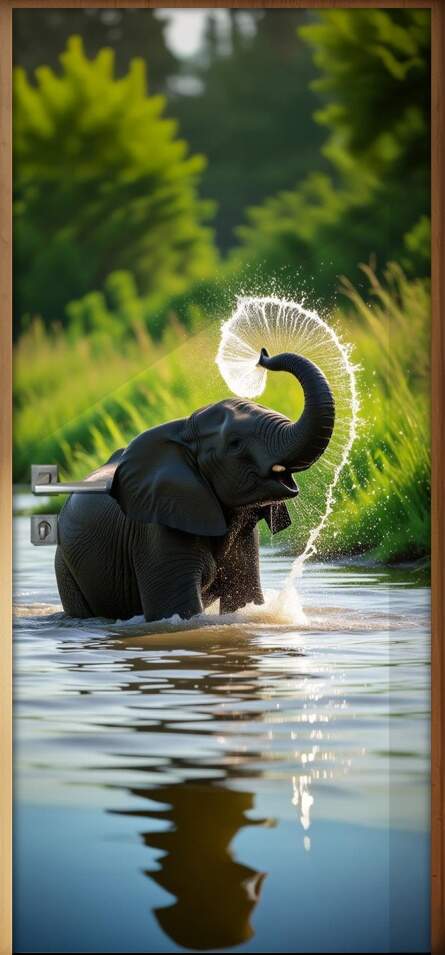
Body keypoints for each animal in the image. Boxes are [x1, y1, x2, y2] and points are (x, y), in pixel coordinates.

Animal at [55, 349, 335, 622]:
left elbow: (244, 599)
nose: (263, 354)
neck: (183, 430)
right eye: (235, 444)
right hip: (65, 566)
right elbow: (179, 611)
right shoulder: (158, 530)